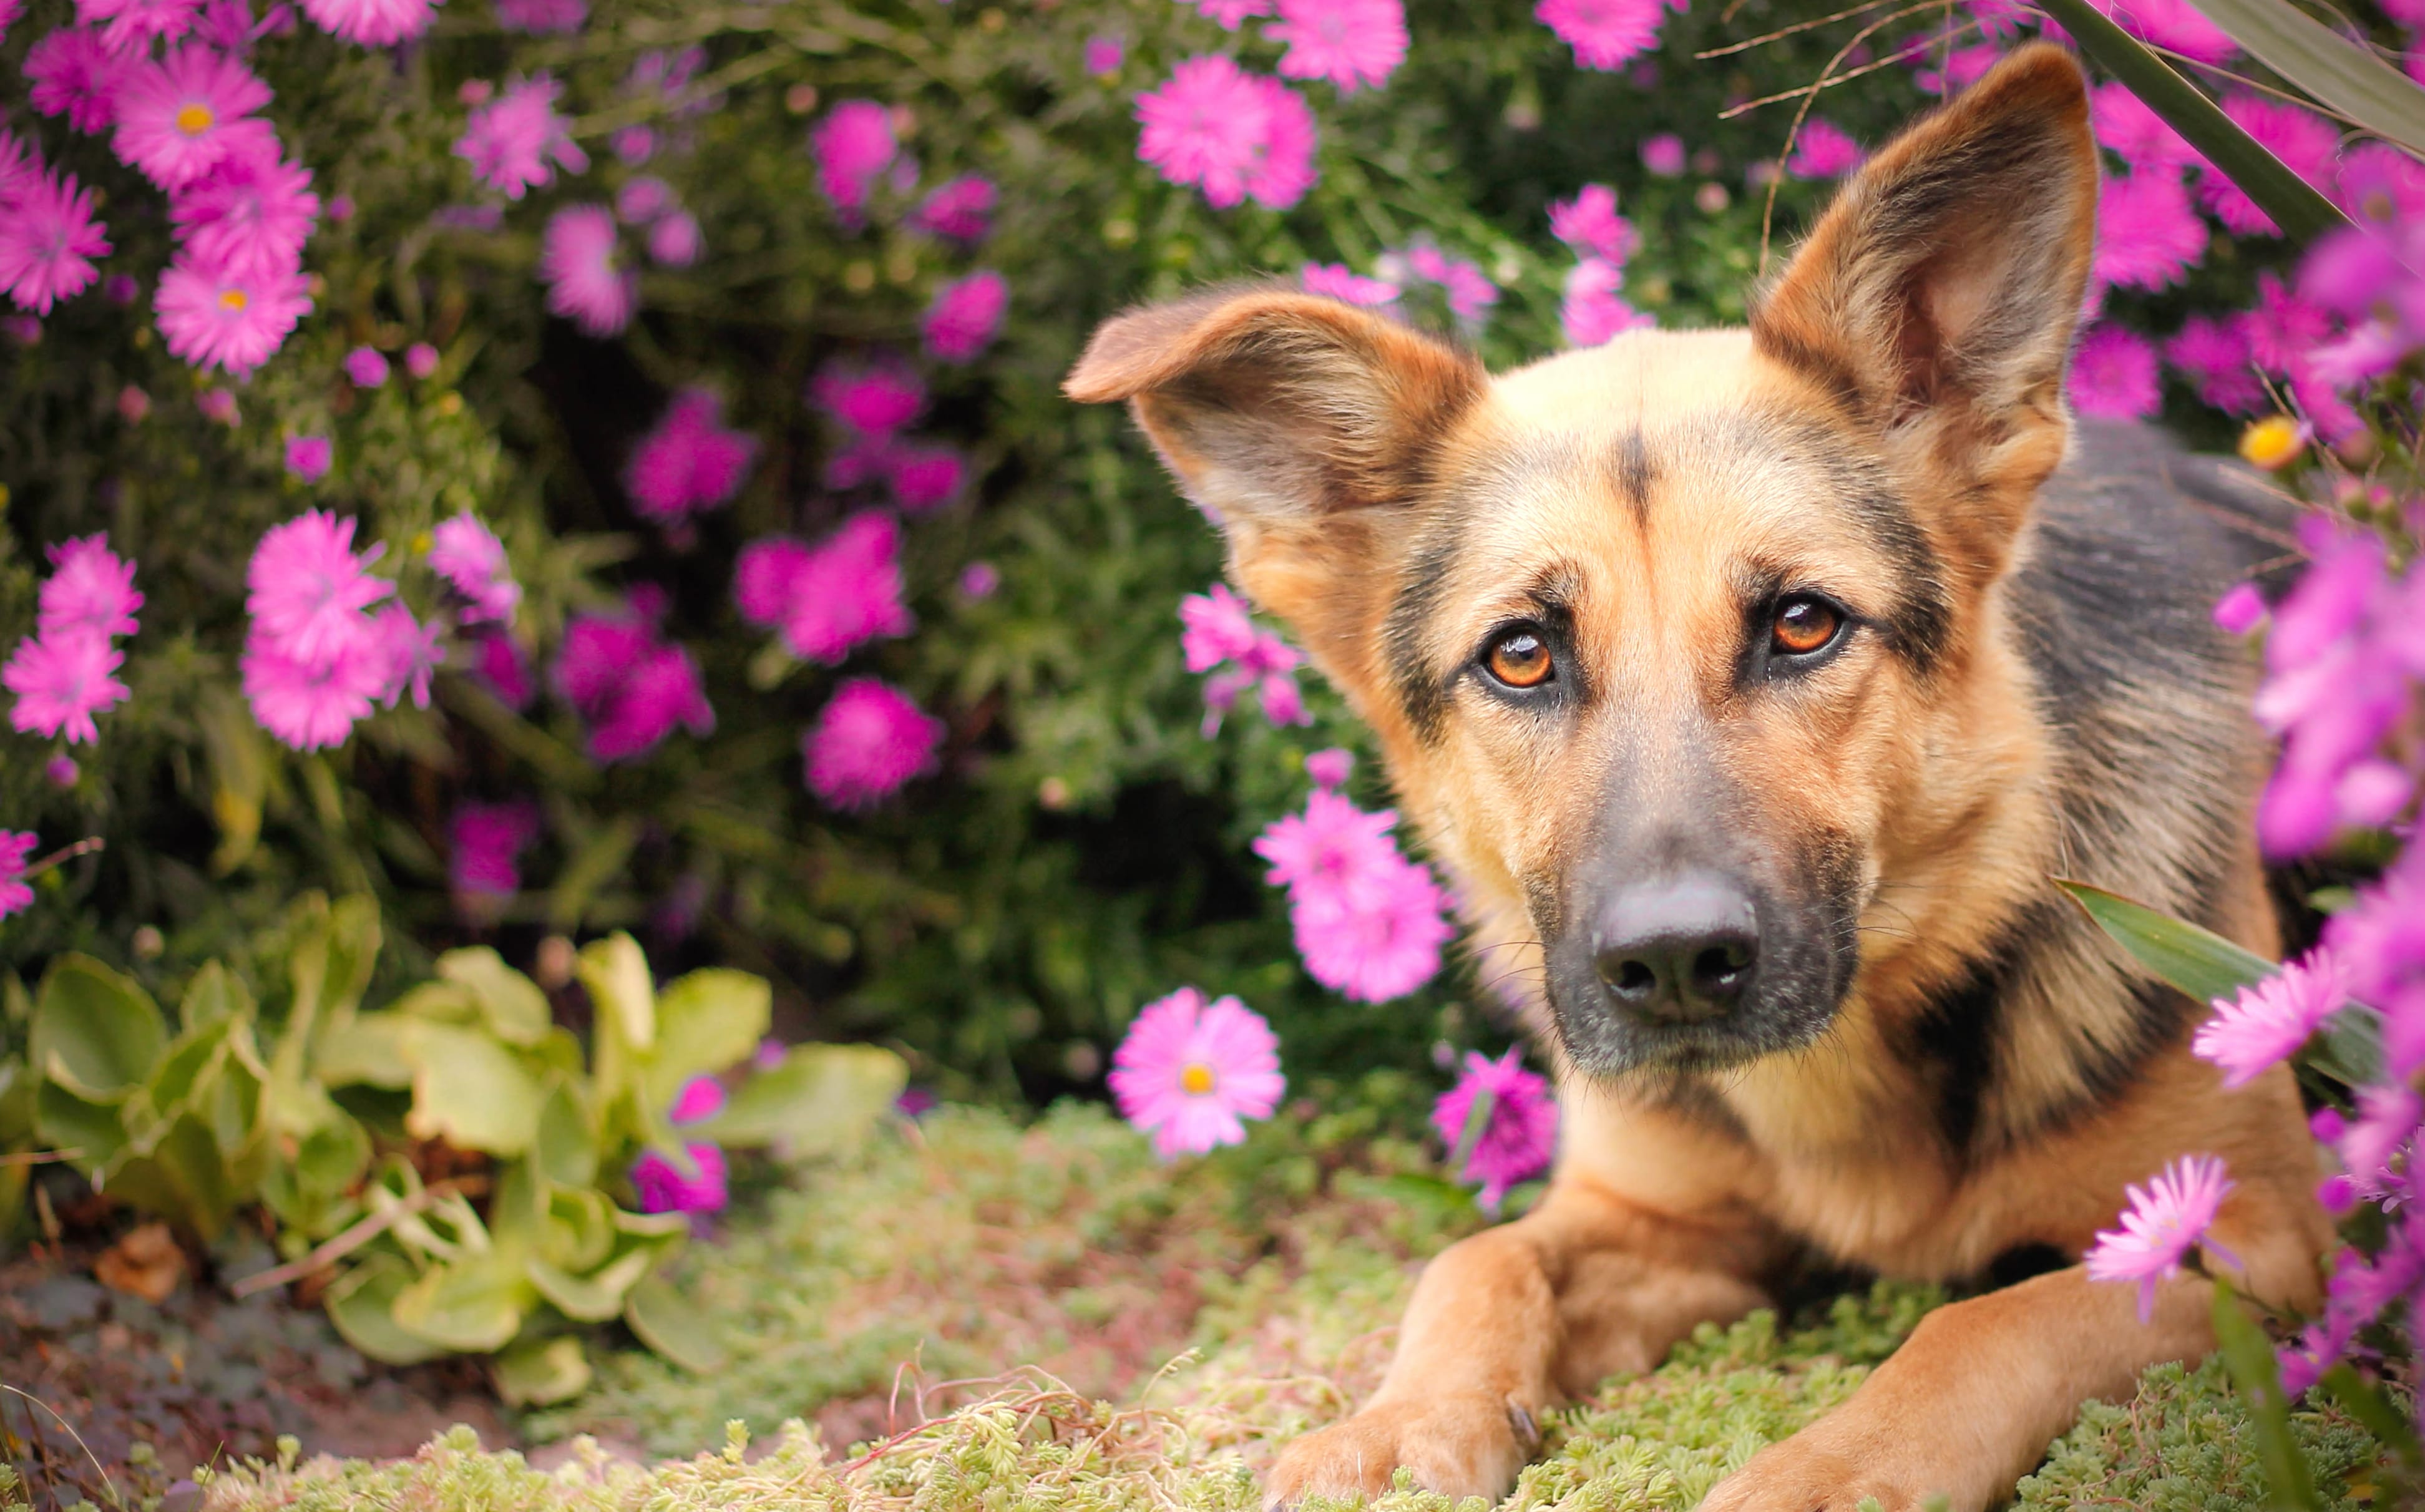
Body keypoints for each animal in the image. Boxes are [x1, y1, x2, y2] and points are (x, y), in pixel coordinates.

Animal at [1071, 41, 2338, 1512]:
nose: (1673, 964)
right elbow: (1476, 1255)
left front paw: (1835, 1464)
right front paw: (1402, 1418)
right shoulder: (1656, 1219)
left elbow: (1978, 1322)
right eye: (1519, 654)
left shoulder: (2240, 1230)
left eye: (1800, 622)